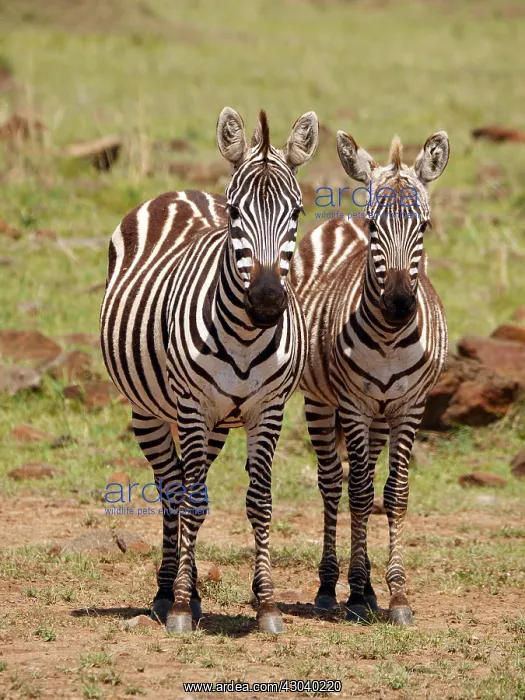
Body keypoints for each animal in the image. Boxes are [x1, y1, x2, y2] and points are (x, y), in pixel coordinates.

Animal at [100, 107, 318, 634]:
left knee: (184, 481)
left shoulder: (268, 408)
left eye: (297, 213)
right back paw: (168, 591)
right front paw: (179, 606)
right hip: (151, 411)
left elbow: (259, 502)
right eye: (236, 212)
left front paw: (267, 605)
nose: (266, 301)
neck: (245, 334)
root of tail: (180, 192)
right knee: (173, 487)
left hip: (218, 421)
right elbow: (192, 501)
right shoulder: (193, 406)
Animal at [290, 129, 449, 625]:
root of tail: (339, 221)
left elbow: (393, 494)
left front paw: (395, 594)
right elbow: (359, 493)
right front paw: (356, 594)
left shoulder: (411, 407)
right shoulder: (354, 405)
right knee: (332, 482)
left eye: (424, 227)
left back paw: (371, 588)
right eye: (375, 228)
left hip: (382, 414)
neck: (389, 338)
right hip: (321, 402)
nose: (399, 304)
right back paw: (330, 586)